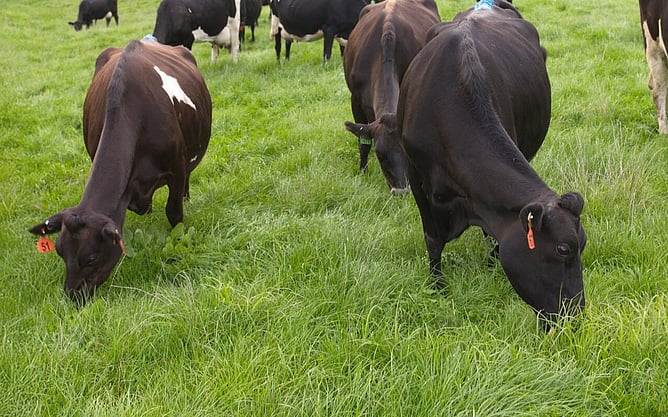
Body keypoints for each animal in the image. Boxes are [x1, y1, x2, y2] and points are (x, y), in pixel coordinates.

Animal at [343, 0, 440, 195]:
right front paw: (363, 171)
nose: (400, 191)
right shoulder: (355, 100)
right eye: (380, 154)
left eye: (408, 155)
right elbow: (363, 142)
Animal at [397, 0, 587, 328]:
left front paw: (491, 267)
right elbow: (432, 240)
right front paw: (437, 286)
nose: (575, 315)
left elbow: (495, 238)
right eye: (563, 248)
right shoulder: (415, 175)